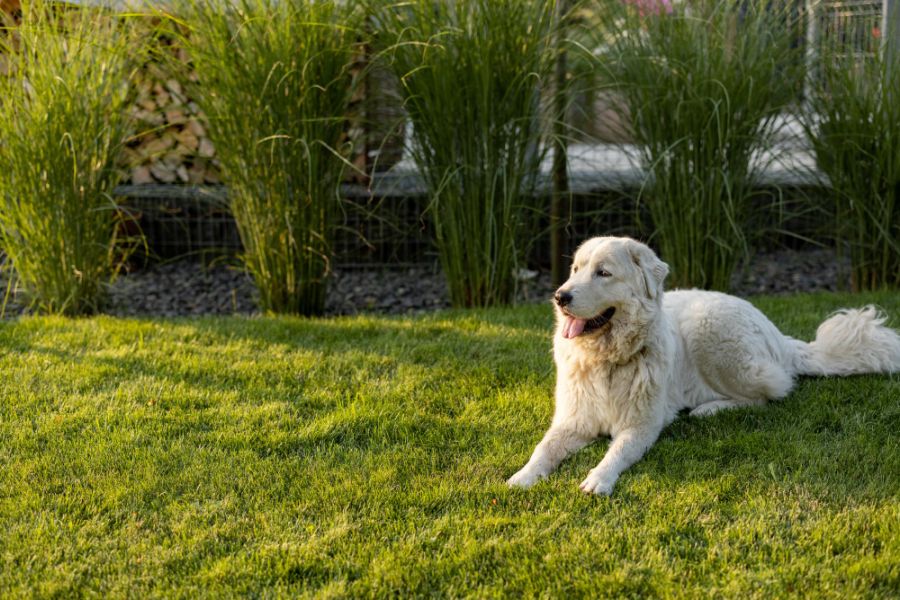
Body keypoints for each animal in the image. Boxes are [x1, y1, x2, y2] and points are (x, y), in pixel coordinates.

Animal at [506, 237, 900, 494]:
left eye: (603, 273)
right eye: (575, 269)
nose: (560, 296)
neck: (608, 358)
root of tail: (777, 333)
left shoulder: (641, 426)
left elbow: (616, 451)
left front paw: (598, 478)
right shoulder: (573, 422)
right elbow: (543, 449)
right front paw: (522, 477)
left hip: (708, 332)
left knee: (772, 393)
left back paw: (707, 410)